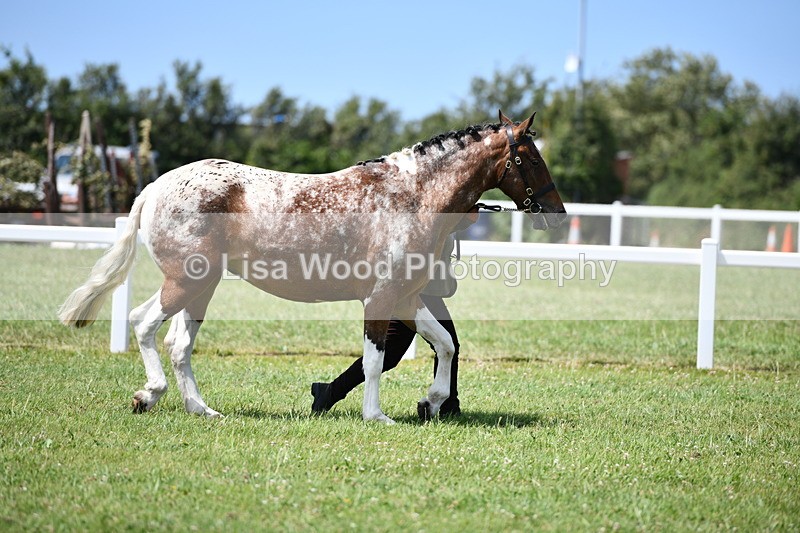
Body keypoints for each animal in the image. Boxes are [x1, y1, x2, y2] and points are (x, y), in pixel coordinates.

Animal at [59, 110, 566, 424]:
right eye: (530, 157)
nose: (557, 214)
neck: (412, 195)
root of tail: (155, 187)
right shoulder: (381, 299)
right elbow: (375, 359)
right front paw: (377, 416)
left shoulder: (405, 298)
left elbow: (443, 344)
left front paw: (434, 400)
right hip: (185, 281)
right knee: (143, 323)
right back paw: (148, 395)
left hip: (202, 287)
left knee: (179, 344)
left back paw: (203, 410)